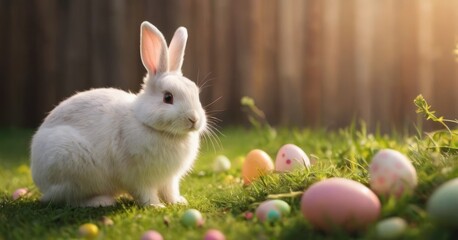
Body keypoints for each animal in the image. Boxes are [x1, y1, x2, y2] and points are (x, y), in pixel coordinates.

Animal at [29, 21, 207, 207]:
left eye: (196, 92)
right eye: (168, 97)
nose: (194, 119)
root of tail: (40, 181)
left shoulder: (169, 179)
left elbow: (170, 191)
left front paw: (178, 202)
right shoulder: (138, 178)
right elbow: (146, 193)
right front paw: (156, 206)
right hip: (71, 167)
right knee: (70, 199)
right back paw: (101, 201)